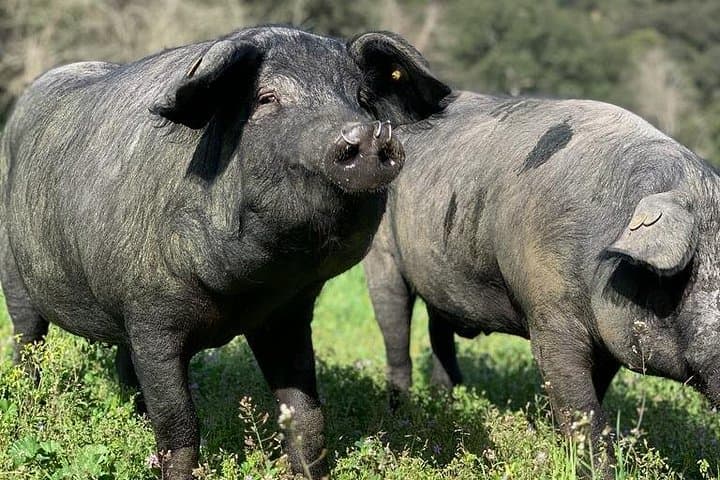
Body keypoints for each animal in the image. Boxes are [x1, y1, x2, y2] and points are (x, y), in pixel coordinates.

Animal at [0, 27, 450, 479]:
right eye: (267, 98)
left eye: (361, 98)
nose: (369, 134)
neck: (244, 293)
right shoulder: (150, 316)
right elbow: (180, 426)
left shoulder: (287, 313)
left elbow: (306, 416)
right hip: (14, 276)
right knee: (27, 342)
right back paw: (31, 402)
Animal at [364, 90, 720, 457]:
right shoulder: (547, 311)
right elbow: (579, 404)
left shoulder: (607, 337)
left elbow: (593, 392)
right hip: (381, 255)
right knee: (395, 331)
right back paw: (402, 412)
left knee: (439, 332)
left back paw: (444, 403)